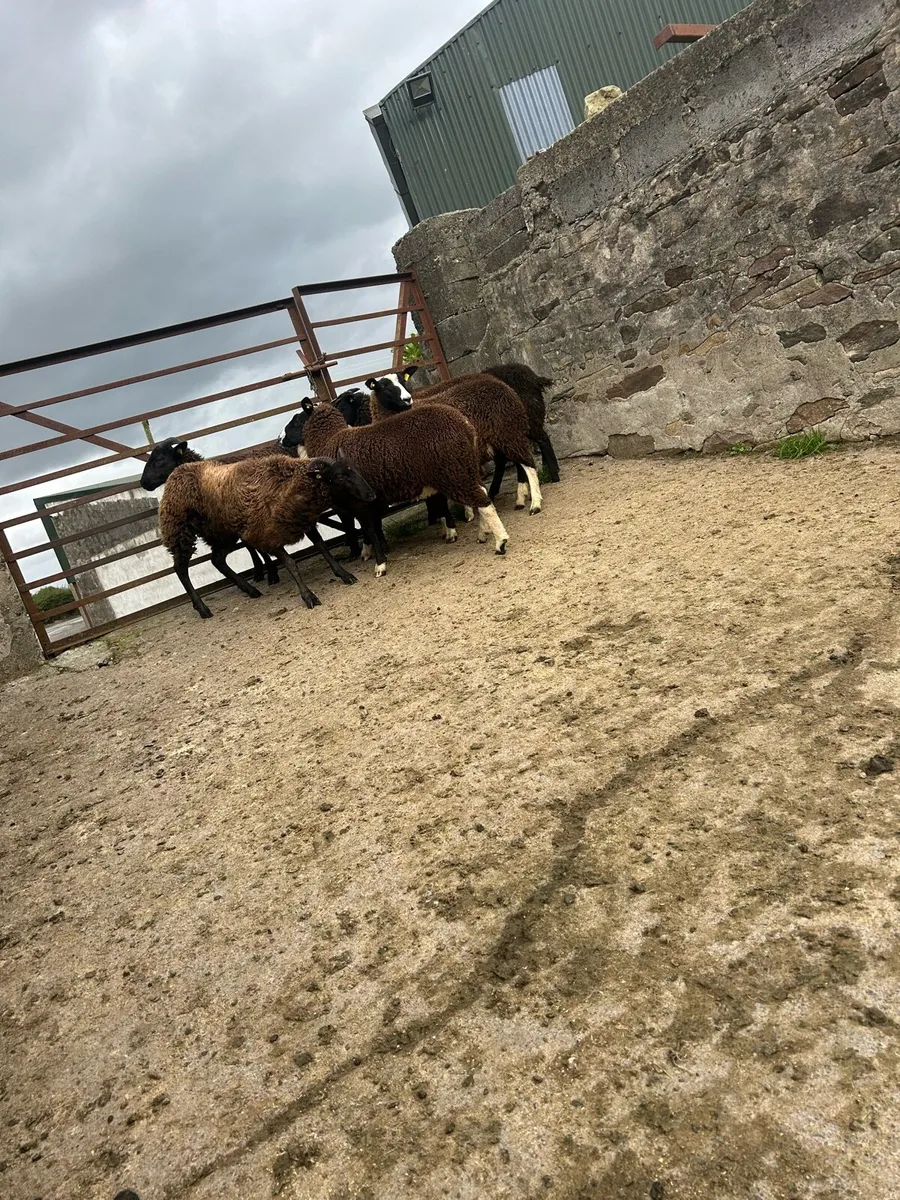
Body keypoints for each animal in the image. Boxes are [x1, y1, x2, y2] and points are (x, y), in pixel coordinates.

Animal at [140, 439, 376, 618]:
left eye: (354, 470)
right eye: (340, 476)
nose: (371, 495)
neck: (290, 484)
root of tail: (176, 474)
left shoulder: (302, 521)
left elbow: (323, 548)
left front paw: (344, 574)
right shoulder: (266, 535)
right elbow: (290, 563)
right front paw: (308, 595)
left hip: (222, 533)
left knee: (217, 560)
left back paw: (250, 590)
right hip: (179, 531)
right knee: (180, 569)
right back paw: (203, 608)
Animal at [283, 398, 509, 575]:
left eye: (296, 420)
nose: (282, 440)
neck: (327, 440)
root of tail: (464, 423)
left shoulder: (360, 502)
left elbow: (369, 529)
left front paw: (379, 565)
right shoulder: (369, 500)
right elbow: (371, 529)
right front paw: (370, 552)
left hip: (454, 472)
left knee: (482, 500)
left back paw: (500, 542)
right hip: (466, 466)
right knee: (482, 493)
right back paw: (483, 534)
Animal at [364, 370, 543, 516]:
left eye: (404, 381)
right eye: (384, 387)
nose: (407, 399)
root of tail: (501, 384)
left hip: (509, 432)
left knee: (527, 463)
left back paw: (534, 503)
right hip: (503, 437)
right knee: (513, 462)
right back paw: (518, 498)